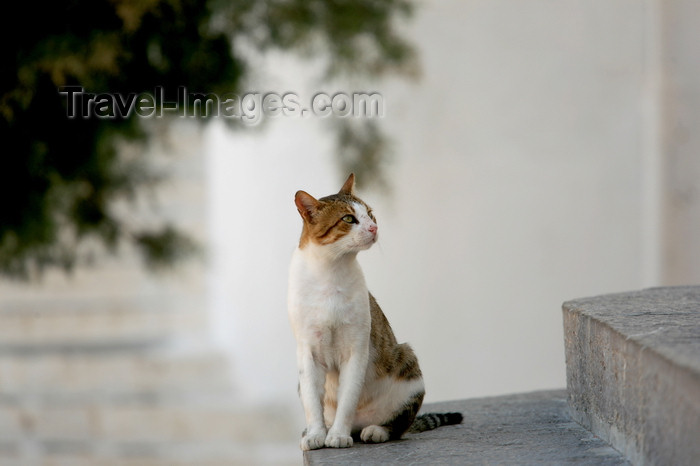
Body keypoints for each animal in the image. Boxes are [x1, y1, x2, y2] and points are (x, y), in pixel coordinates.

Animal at [288, 173, 462, 450]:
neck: (330, 273)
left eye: (370, 214)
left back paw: (376, 430)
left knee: (401, 424)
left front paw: (338, 435)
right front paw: (316, 434)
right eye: (348, 219)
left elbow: (348, 398)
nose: (373, 228)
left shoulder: (356, 348)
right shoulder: (308, 351)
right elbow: (312, 402)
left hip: (407, 361)